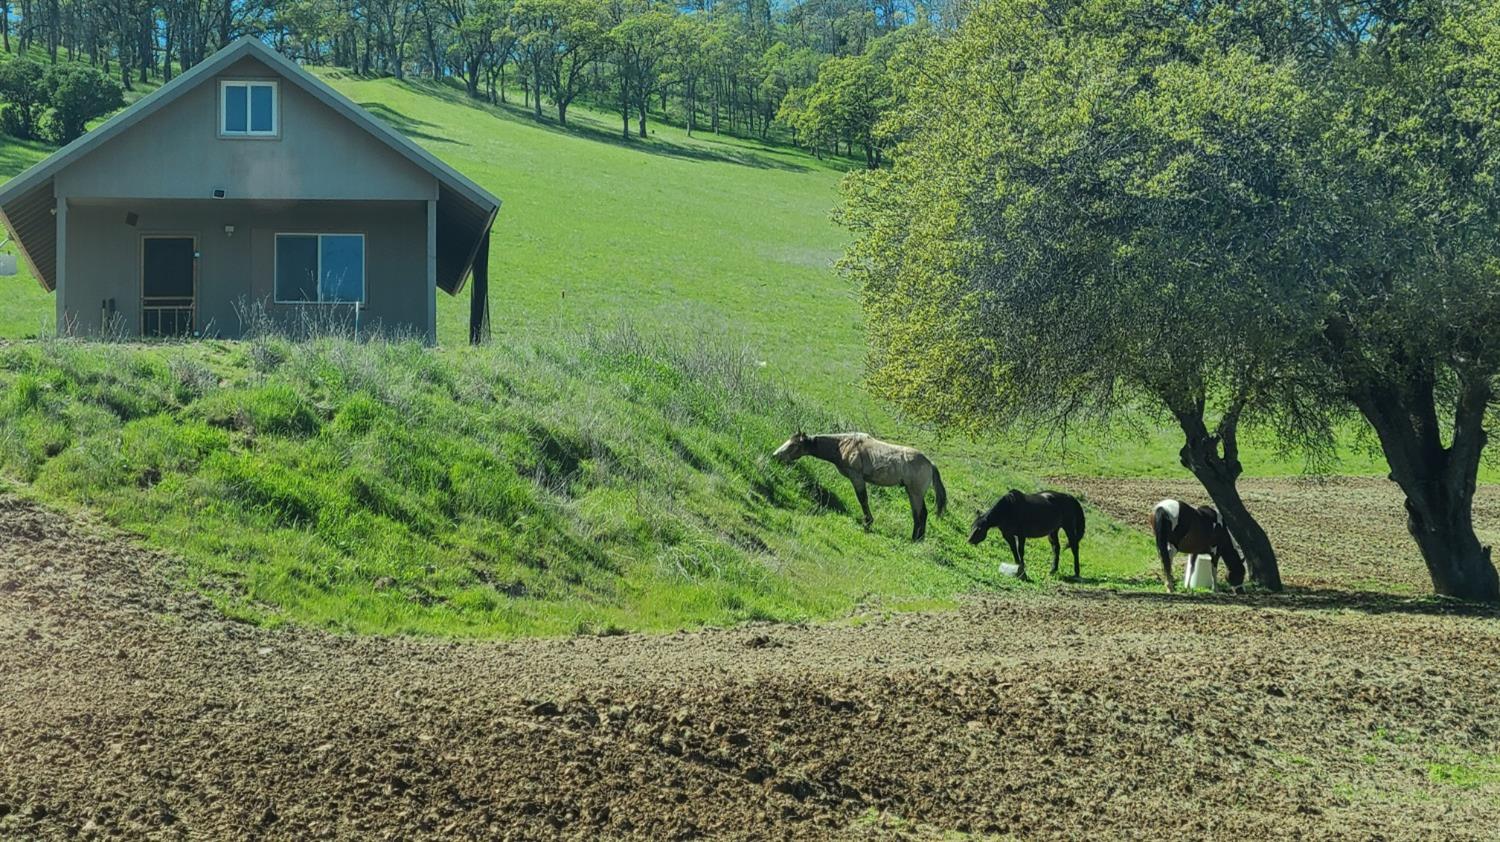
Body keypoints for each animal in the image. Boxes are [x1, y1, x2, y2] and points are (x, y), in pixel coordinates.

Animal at [780, 429, 942, 540]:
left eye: (793, 445)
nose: (776, 455)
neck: (844, 445)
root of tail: (930, 463)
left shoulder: (856, 478)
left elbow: (862, 499)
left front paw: (867, 523)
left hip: (915, 493)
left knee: (920, 514)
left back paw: (916, 539)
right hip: (912, 493)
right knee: (919, 514)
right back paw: (917, 538)